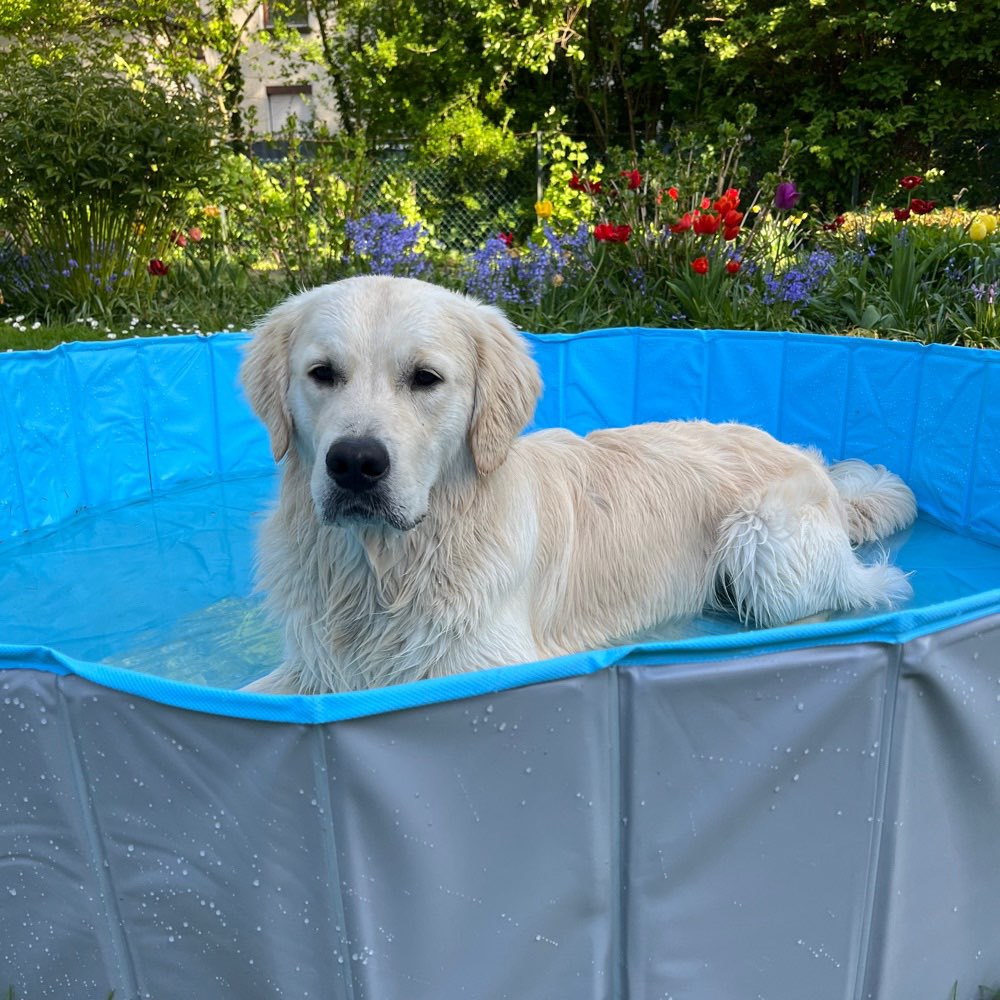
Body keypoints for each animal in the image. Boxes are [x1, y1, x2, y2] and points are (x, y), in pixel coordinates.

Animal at [240, 276, 916, 696]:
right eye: (322, 374)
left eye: (426, 377)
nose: (355, 463)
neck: (384, 571)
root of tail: (808, 462)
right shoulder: (314, 670)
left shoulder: (489, 662)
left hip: (762, 545)